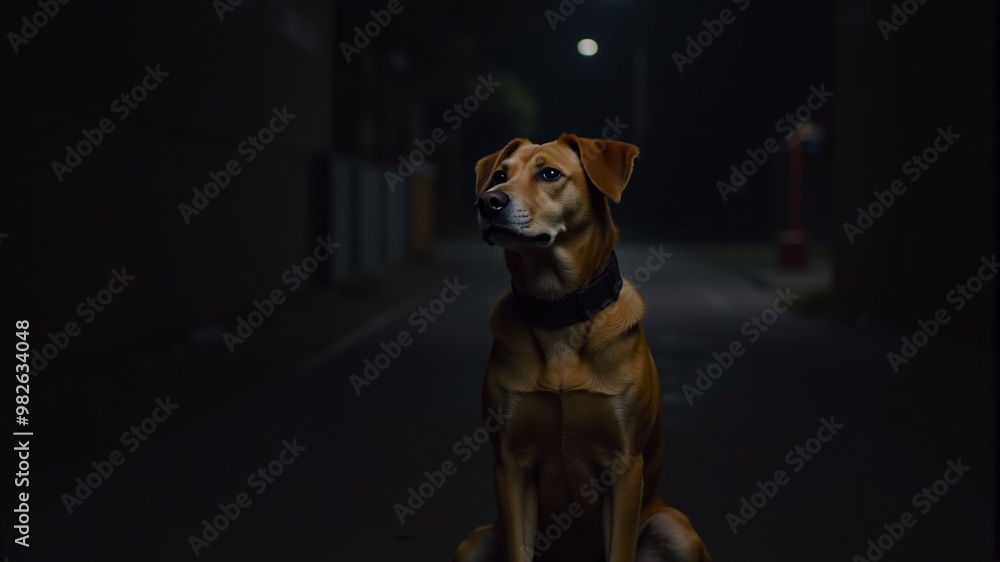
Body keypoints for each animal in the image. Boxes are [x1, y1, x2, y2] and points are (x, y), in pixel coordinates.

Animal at [454, 136, 712, 560]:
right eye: (500, 175)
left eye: (550, 174)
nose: (488, 202)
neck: (559, 311)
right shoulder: (511, 466)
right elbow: (518, 547)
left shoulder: (624, 466)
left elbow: (620, 548)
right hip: (475, 541)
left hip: (675, 529)